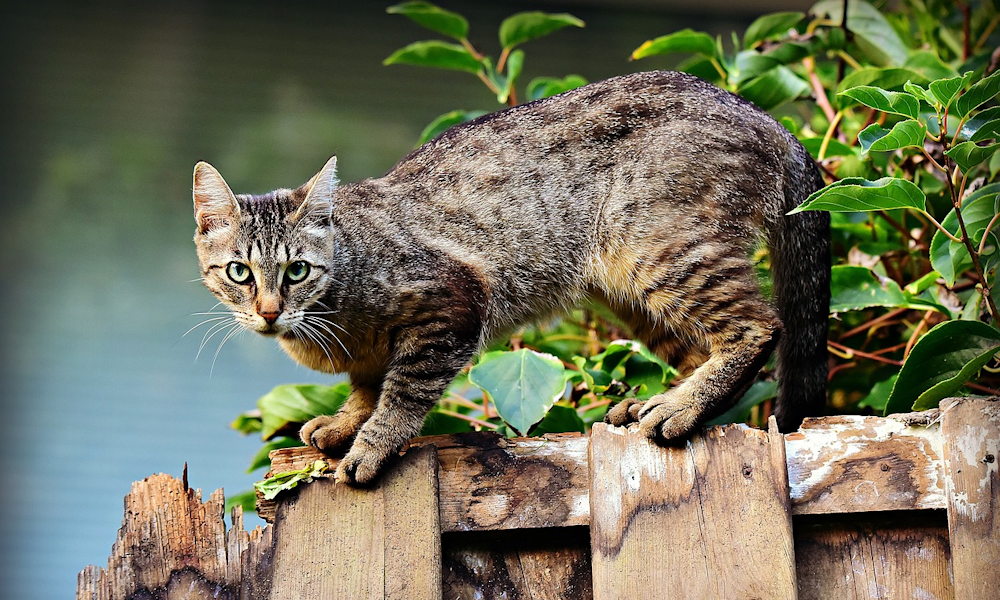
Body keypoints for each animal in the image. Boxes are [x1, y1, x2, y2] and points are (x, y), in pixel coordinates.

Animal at [193, 70, 828, 486]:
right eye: (239, 273)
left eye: (297, 270)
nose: (269, 311)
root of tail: (767, 118)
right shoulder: (372, 354)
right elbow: (367, 386)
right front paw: (347, 422)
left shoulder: (451, 306)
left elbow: (401, 392)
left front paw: (372, 443)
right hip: (628, 290)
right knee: (699, 348)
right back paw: (659, 401)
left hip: (660, 249)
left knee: (759, 327)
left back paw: (680, 408)